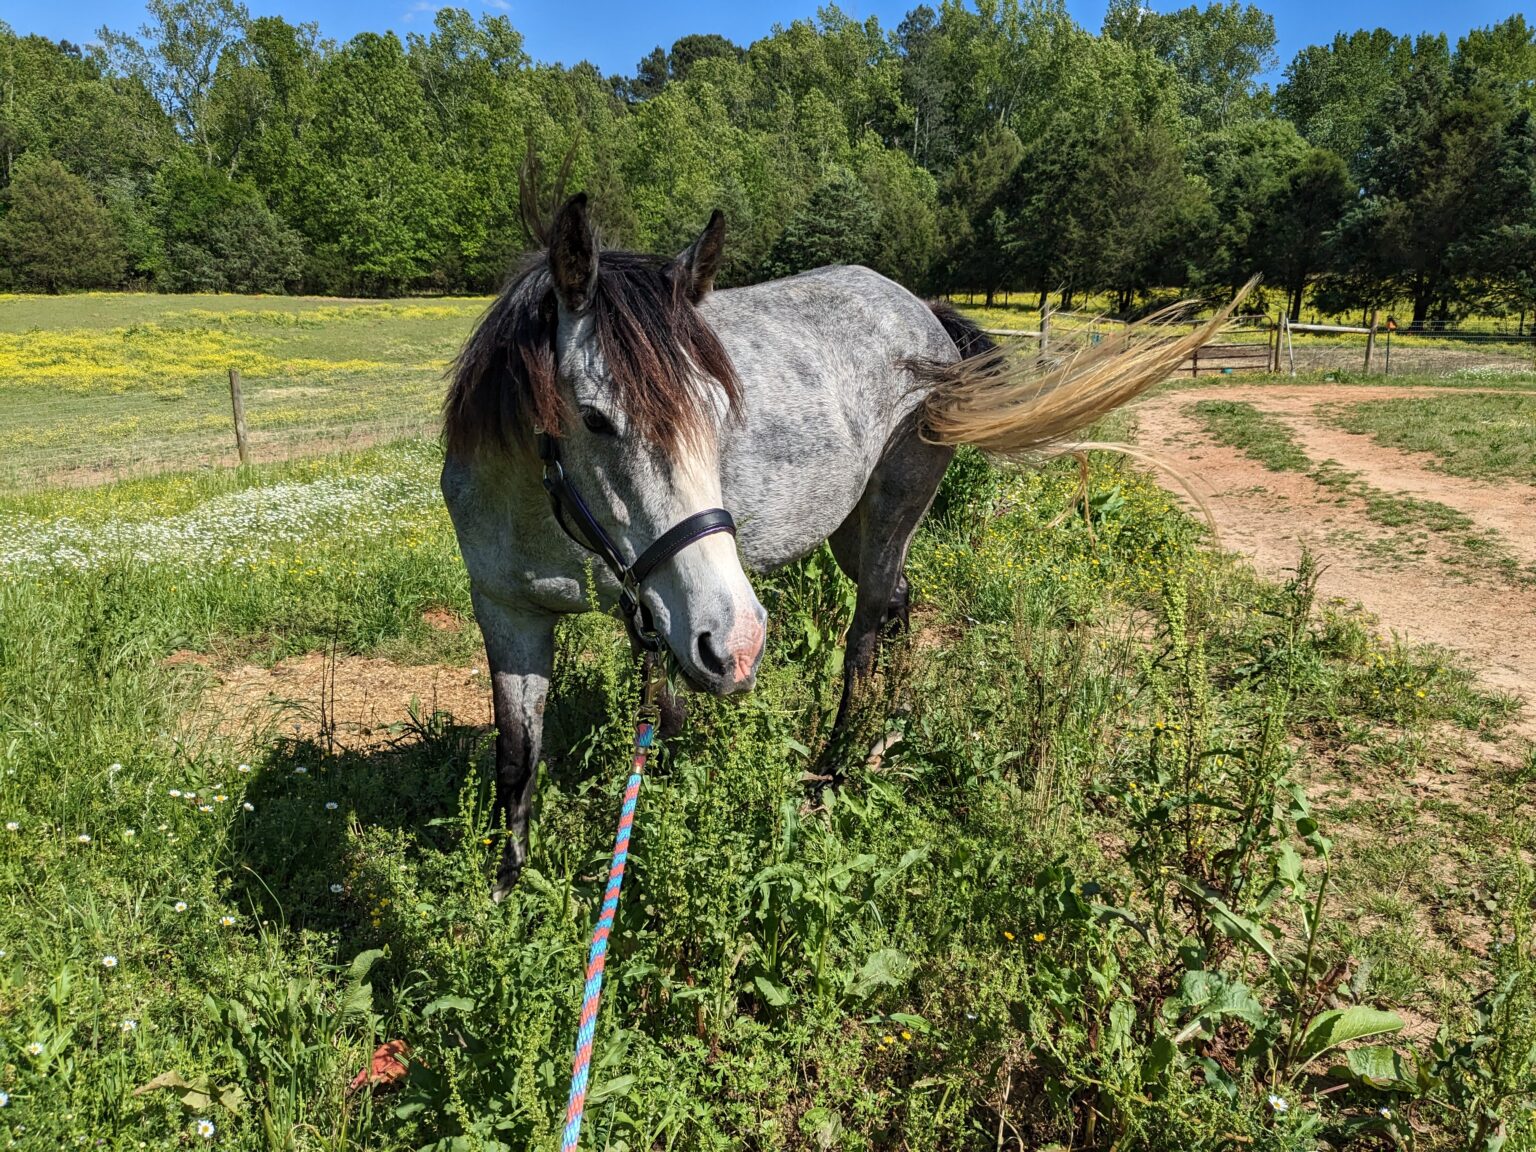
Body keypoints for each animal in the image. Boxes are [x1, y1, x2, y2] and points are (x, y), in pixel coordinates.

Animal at [442, 192, 1240, 900]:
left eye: (721, 408)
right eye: (595, 418)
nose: (739, 643)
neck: (541, 511)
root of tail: (923, 313)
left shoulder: (662, 610)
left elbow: (660, 721)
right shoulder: (522, 612)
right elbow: (518, 759)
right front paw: (503, 895)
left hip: (890, 514)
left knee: (865, 634)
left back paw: (836, 771)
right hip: (852, 534)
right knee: (901, 604)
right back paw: (892, 727)